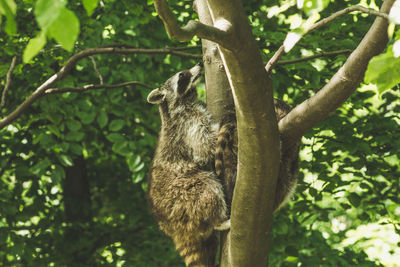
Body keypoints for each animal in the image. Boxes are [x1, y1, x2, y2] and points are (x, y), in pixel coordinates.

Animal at [147, 63, 230, 267]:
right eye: (182, 76)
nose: (199, 64)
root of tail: (173, 229)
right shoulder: (188, 124)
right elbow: (204, 145)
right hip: (182, 196)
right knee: (207, 188)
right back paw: (219, 220)